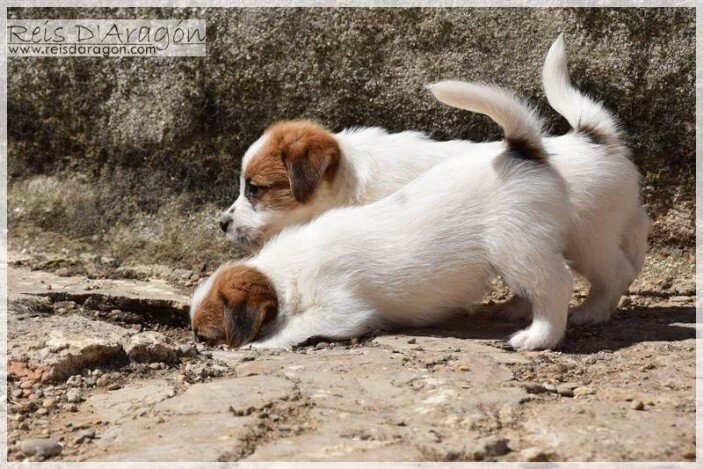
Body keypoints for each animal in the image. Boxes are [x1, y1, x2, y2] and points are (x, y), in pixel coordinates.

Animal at [191, 82, 572, 350]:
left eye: (254, 189)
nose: (222, 223)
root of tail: (522, 153)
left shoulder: (341, 309)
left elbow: (293, 328)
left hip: (519, 246)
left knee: (556, 284)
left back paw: (540, 335)